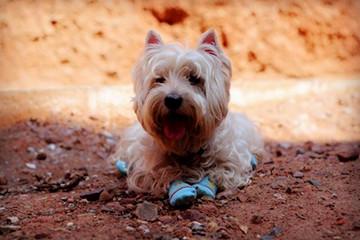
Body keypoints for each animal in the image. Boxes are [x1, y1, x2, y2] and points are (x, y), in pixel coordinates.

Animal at [111, 29, 262, 197]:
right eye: (159, 79)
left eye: (194, 78)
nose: (172, 100)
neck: (187, 144)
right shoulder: (147, 167)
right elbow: (162, 172)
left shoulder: (234, 156)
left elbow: (226, 170)